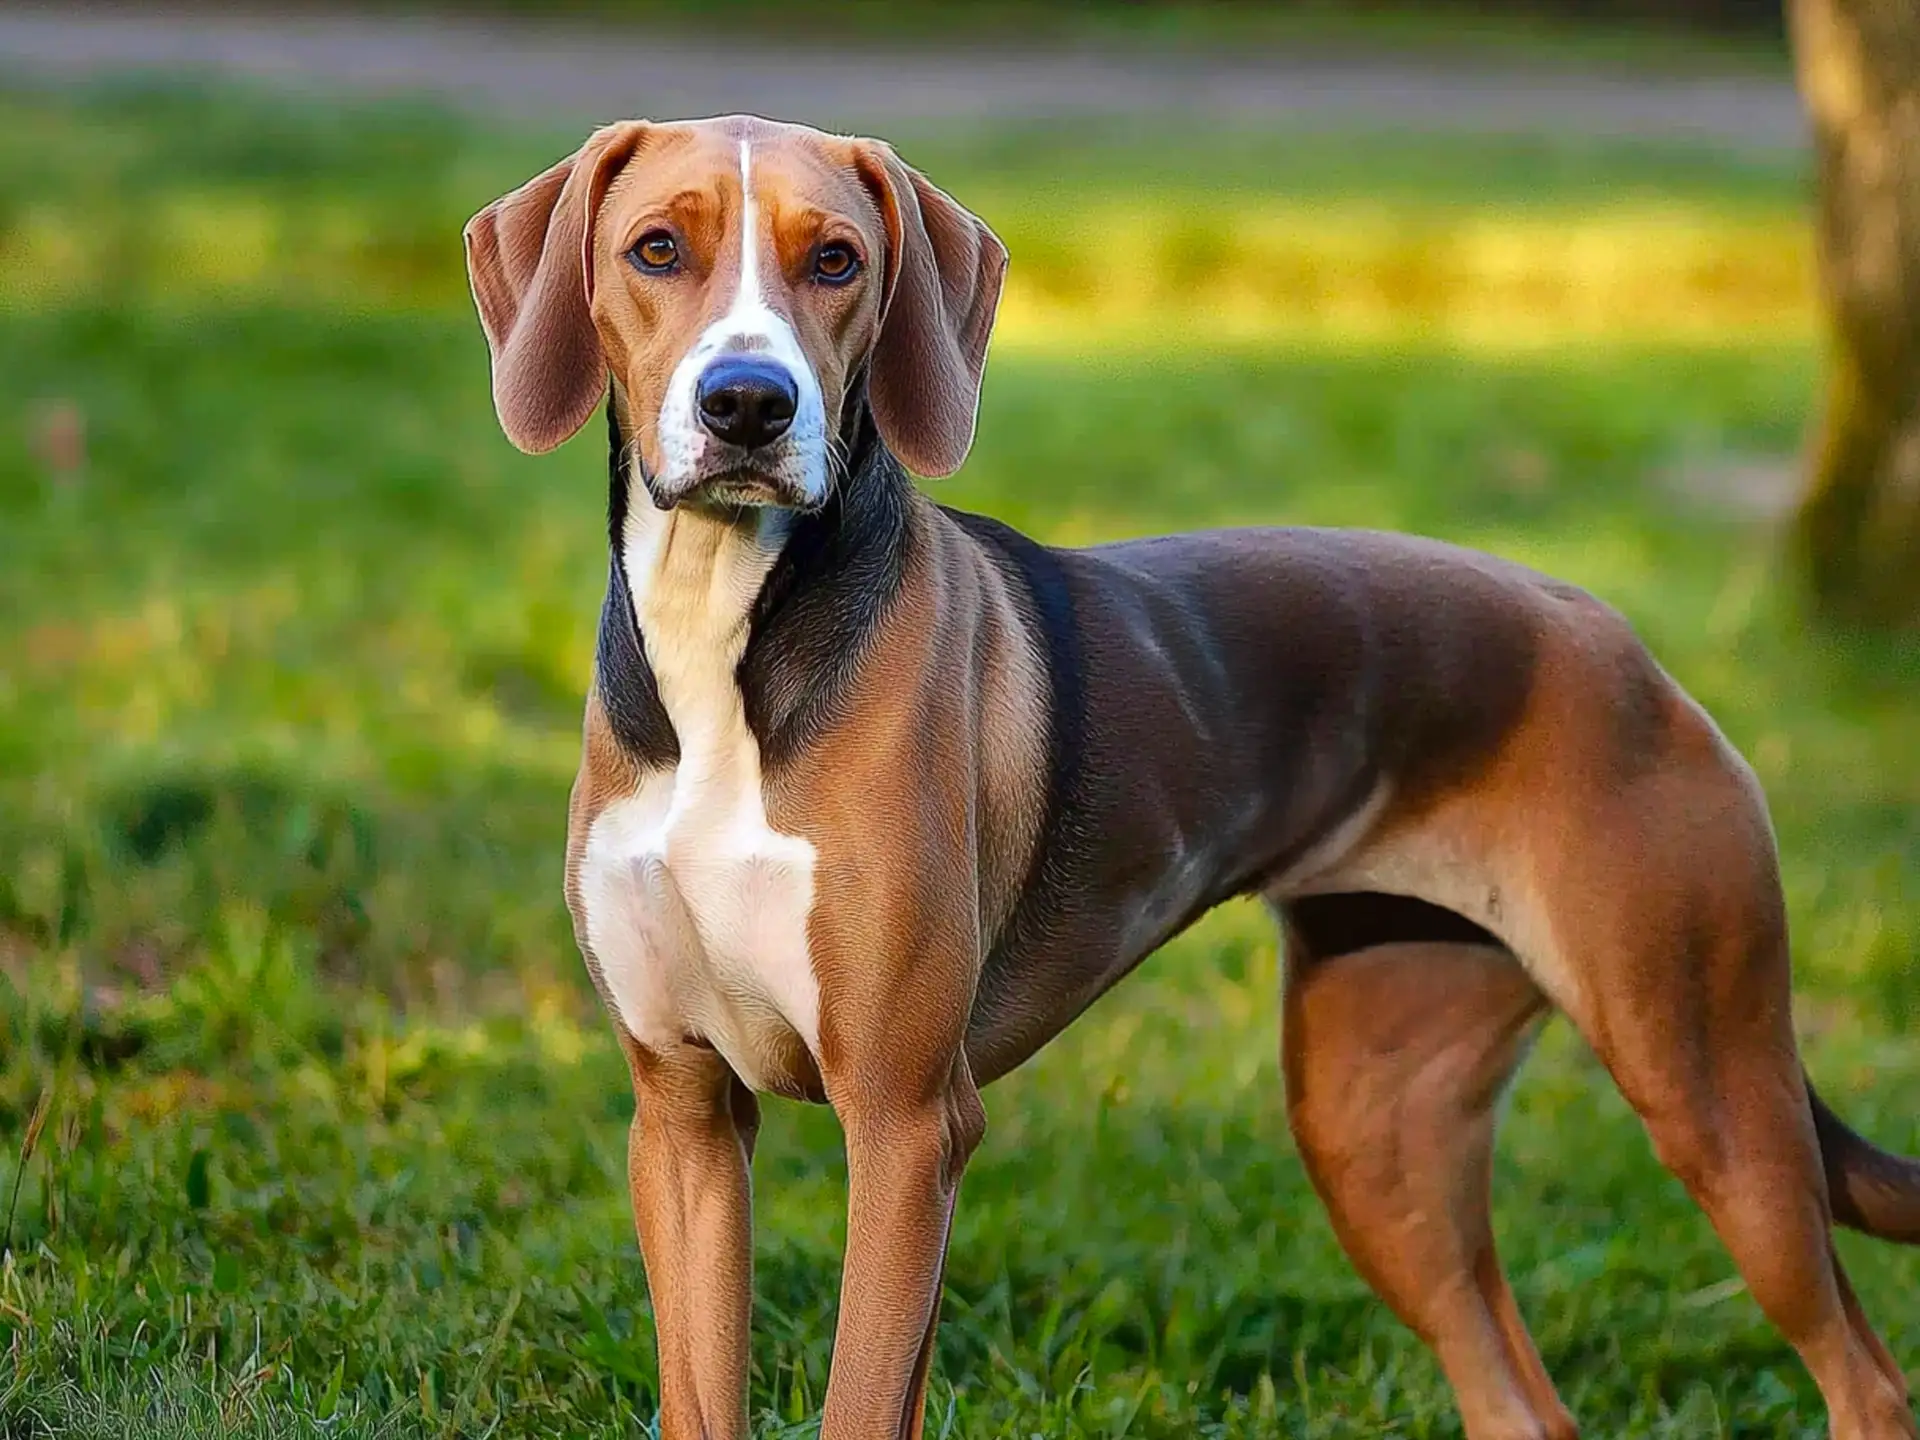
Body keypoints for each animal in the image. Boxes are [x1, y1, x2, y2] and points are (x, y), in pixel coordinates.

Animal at [464, 115, 1920, 1440]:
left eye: (837, 261)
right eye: (657, 249)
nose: (749, 405)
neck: (731, 651)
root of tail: (1627, 648)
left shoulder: (904, 1123)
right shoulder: (686, 1119)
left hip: (1712, 1093)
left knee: (1865, 1377)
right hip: (1377, 1133)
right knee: (1525, 1402)